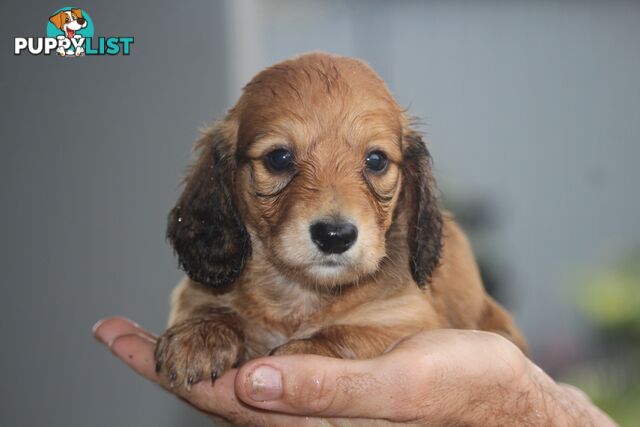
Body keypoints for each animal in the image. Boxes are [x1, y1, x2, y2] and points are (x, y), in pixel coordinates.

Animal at [154, 51, 524, 390]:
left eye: (376, 160)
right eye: (279, 158)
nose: (334, 235)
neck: (302, 293)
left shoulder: (407, 318)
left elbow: (345, 335)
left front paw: (300, 350)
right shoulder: (192, 293)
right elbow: (210, 306)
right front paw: (201, 334)